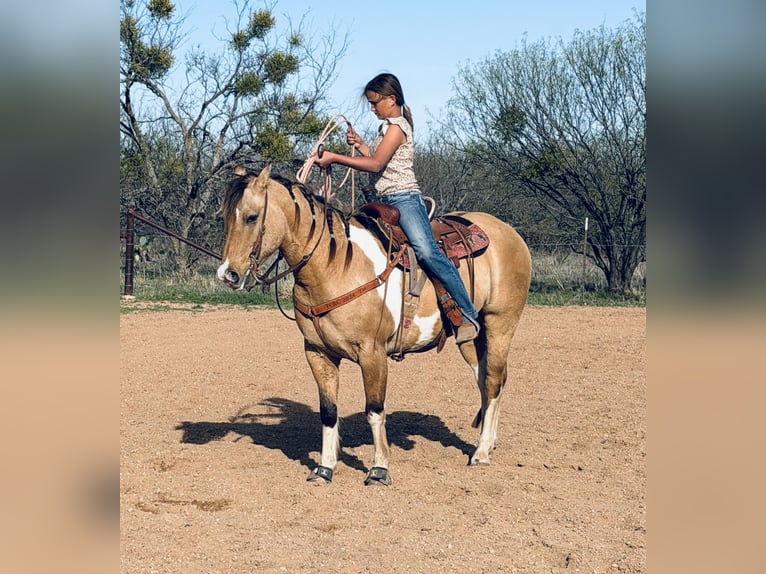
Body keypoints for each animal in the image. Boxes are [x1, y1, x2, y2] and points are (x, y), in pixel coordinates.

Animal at [217, 165, 531, 486]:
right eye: (225, 216)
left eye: (252, 216)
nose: (228, 274)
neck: (335, 265)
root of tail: (509, 232)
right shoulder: (317, 353)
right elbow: (328, 412)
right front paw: (324, 469)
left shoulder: (373, 354)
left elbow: (375, 410)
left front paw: (379, 469)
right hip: (470, 339)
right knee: (486, 381)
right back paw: (489, 443)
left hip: (500, 325)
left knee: (492, 381)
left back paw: (481, 453)